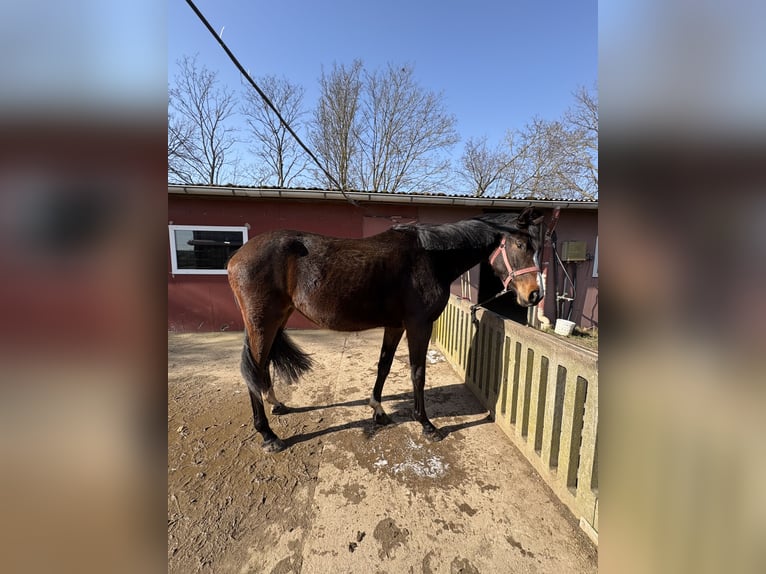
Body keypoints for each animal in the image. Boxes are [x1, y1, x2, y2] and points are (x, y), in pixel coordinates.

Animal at [227, 207, 545, 452]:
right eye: (520, 245)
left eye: (536, 248)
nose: (534, 295)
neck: (431, 257)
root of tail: (236, 258)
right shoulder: (419, 325)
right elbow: (418, 372)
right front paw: (426, 424)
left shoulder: (394, 326)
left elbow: (384, 365)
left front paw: (377, 409)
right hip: (262, 322)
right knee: (254, 368)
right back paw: (268, 434)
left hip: (276, 320)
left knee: (263, 364)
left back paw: (276, 403)